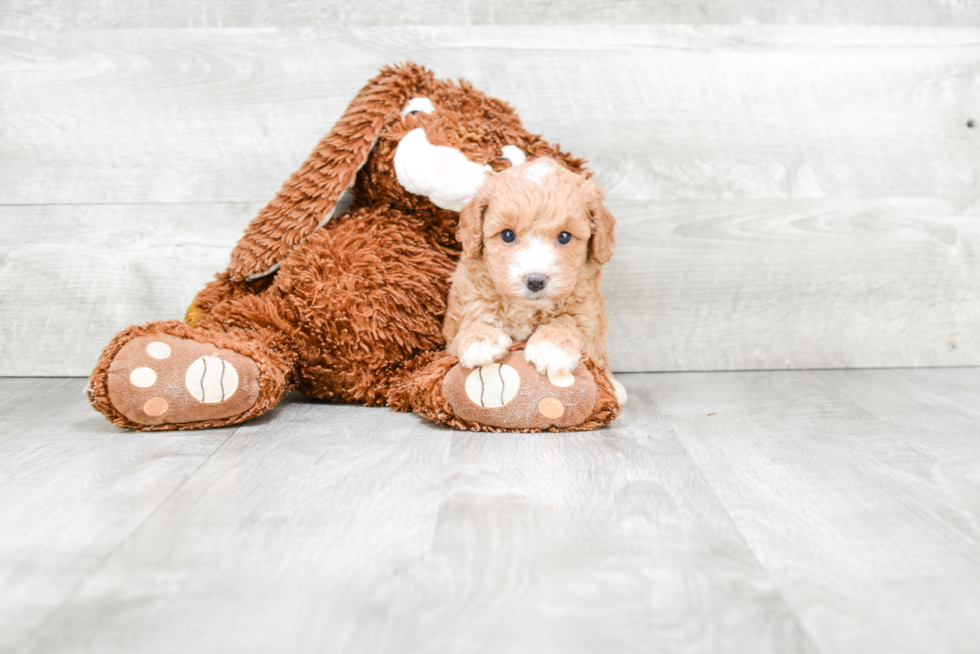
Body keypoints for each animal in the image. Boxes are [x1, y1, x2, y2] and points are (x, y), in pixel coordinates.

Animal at [444, 158, 628, 404]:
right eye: (507, 235)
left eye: (564, 237)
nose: (535, 281)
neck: (526, 309)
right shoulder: (466, 303)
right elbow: (473, 320)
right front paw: (480, 340)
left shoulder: (588, 314)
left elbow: (569, 321)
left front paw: (552, 346)